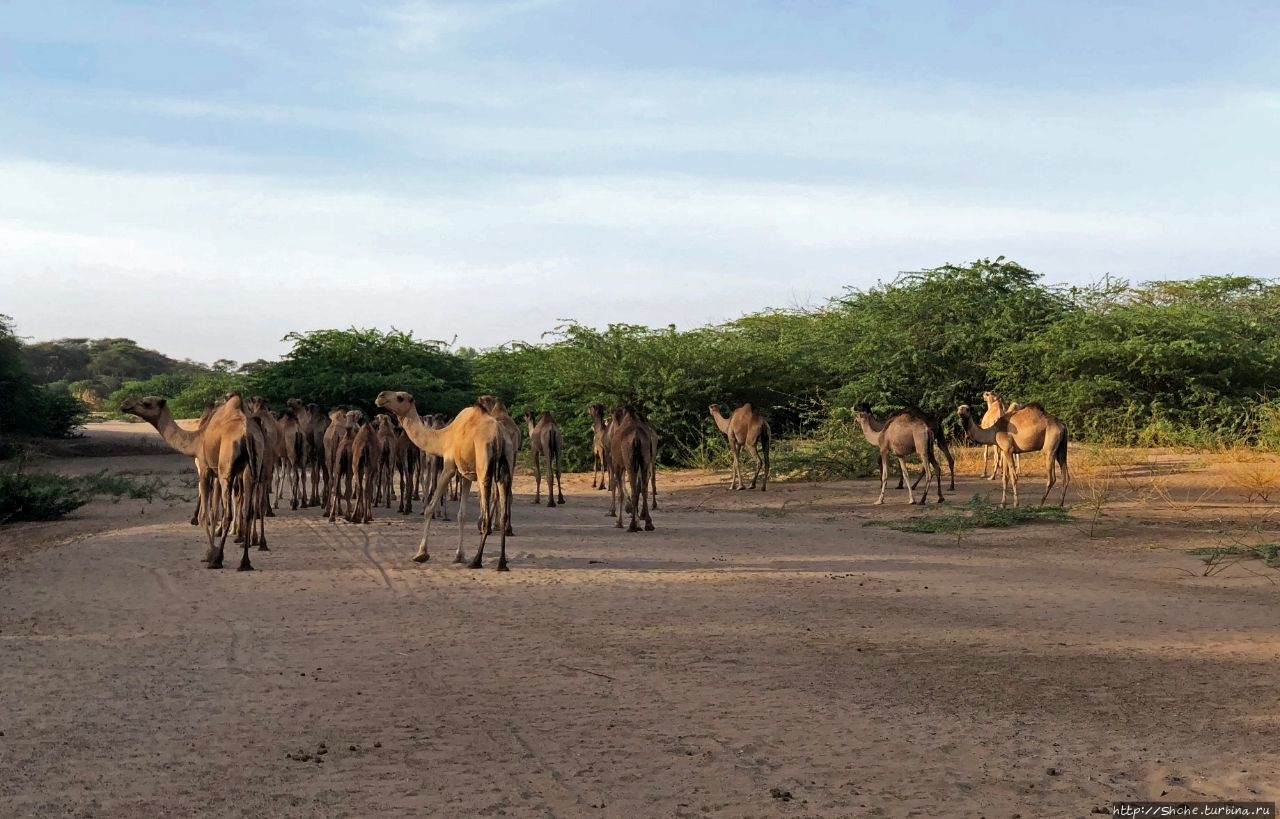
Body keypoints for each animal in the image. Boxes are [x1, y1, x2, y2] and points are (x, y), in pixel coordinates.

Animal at [373, 389, 512, 568]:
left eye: (400, 397)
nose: (380, 396)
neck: (444, 437)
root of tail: (499, 436)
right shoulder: (466, 473)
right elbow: (462, 514)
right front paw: (459, 555)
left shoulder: (449, 467)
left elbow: (430, 508)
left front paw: (421, 553)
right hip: (506, 463)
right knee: (503, 512)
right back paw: (502, 563)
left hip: (484, 464)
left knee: (486, 514)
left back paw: (477, 560)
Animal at [604, 406, 655, 534]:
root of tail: (636, 436)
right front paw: (638, 523)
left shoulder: (617, 465)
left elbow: (620, 492)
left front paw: (619, 522)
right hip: (644, 459)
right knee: (643, 488)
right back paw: (648, 524)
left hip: (629, 462)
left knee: (633, 489)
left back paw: (632, 526)